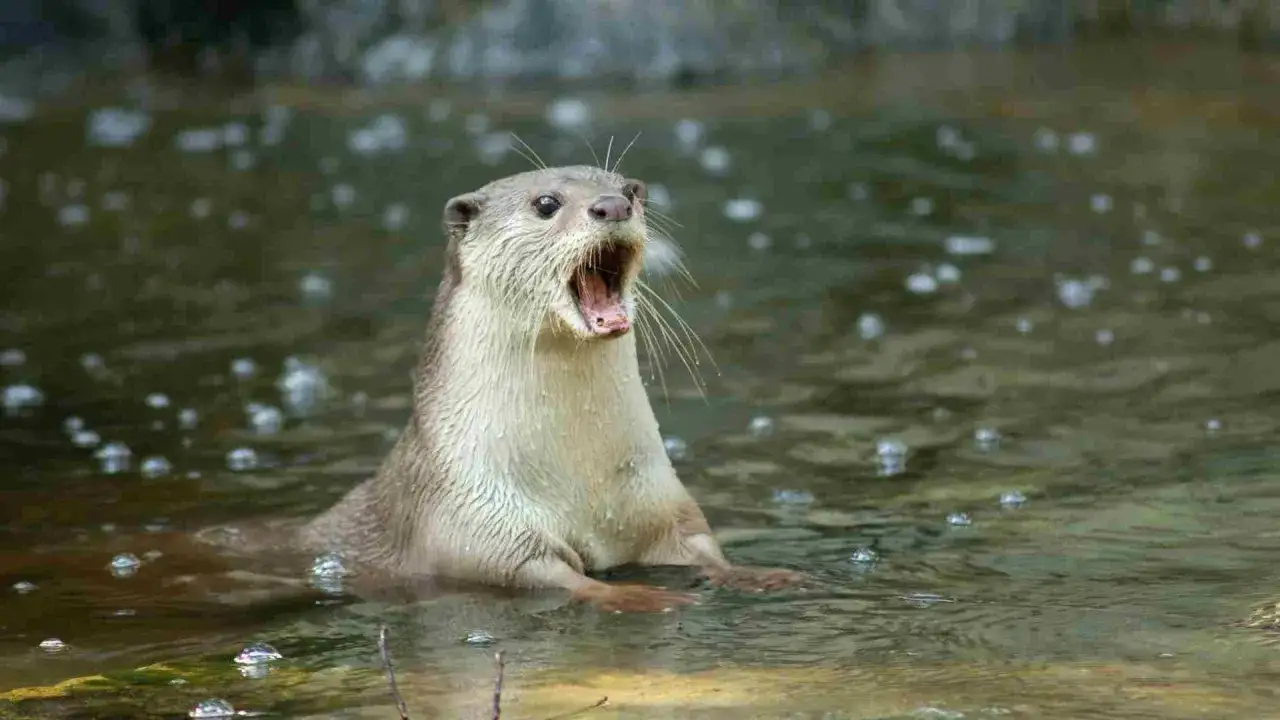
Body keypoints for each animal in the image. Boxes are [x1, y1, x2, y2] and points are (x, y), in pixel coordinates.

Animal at [298, 165, 803, 612]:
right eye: (546, 204)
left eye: (629, 190)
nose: (613, 205)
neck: (580, 478)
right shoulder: (474, 523)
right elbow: (551, 576)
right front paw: (637, 596)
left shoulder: (659, 499)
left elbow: (699, 545)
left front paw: (759, 574)